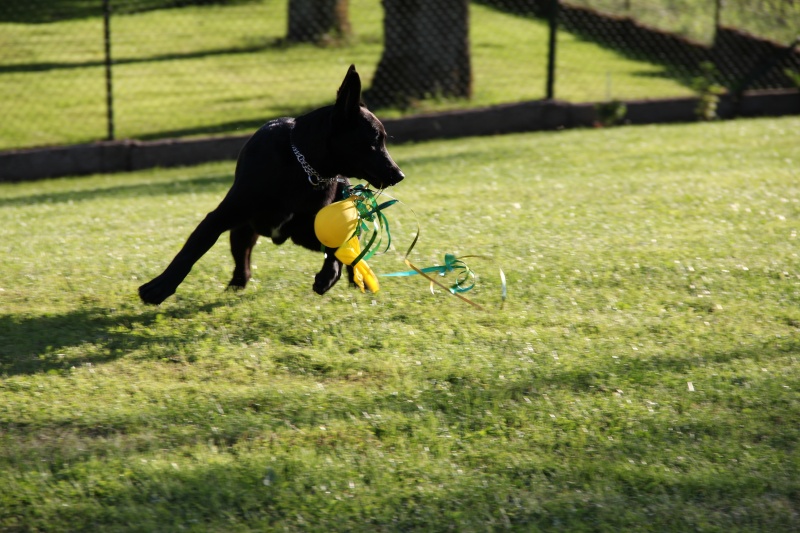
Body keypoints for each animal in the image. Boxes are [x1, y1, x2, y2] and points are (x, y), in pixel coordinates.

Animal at [139, 65, 406, 304]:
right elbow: (190, 251)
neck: (302, 167)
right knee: (243, 264)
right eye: (375, 141)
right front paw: (159, 288)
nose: (399, 174)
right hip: (244, 231)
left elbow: (339, 249)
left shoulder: (314, 229)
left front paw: (328, 277)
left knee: (351, 250)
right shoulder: (220, 217)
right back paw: (236, 285)